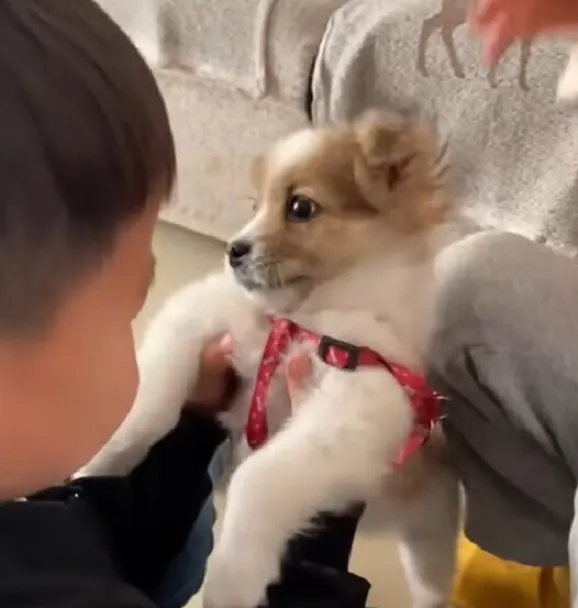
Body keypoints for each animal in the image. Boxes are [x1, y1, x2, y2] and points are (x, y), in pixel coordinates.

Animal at [80, 111, 460, 608]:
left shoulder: (357, 408)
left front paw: (228, 581)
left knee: (432, 581)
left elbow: (257, 479)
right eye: (254, 205)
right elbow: (149, 411)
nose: (233, 250)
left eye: (300, 208)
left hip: (429, 537)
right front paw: (95, 466)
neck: (302, 318)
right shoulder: (198, 315)